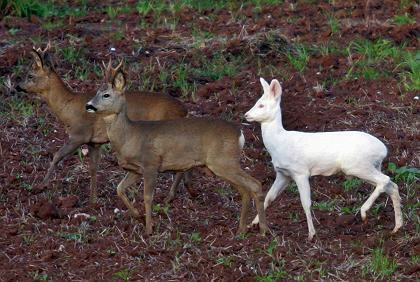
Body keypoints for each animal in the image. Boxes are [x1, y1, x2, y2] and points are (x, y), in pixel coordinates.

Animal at [16, 46, 194, 205]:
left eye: (30, 75)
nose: (18, 86)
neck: (67, 107)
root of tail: (184, 110)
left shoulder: (79, 134)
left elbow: (57, 156)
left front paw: (41, 186)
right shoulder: (94, 142)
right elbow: (93, 168)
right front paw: (93, 200)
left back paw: (170, 196)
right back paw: (188, 189)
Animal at [85, 69, 270, 236]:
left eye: (106, 95)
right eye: (96, 92)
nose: (88, 106)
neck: (129, 137)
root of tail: (240, 134)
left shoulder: (151, 163)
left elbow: (147, 197)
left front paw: (148, 229)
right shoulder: (135, 169)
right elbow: (119, 189)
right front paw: (139, 216)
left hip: (224, 162)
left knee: (255, 184)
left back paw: (263, 230)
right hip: (223, 165)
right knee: (245, 190)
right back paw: (241, 229)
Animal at [244, 77, 402, 240]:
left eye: (261, 105)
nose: (246, 115)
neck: (279, 143)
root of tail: (383, 150)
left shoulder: (300, 172)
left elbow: (305, 203)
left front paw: (311, 234)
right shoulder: (283, 174)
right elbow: (269, 197)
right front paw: (252, 224)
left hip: (357, 165)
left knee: (385, 180)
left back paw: (364, 212)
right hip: (369, 166)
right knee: (391, 185)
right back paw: (397, 227)